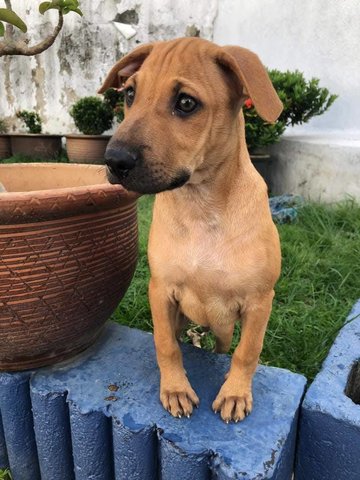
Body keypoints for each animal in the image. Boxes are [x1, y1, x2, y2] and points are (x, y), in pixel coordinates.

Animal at [98, 38, 282, 424]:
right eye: (130, 94)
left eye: (186, 103)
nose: (114, 161)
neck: (201, 206)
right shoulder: (161, 290)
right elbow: (166, 345)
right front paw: (175, 389)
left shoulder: (260, 301)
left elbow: (248, 351)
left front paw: (235, 393)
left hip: (226, 328)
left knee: (225, 347)